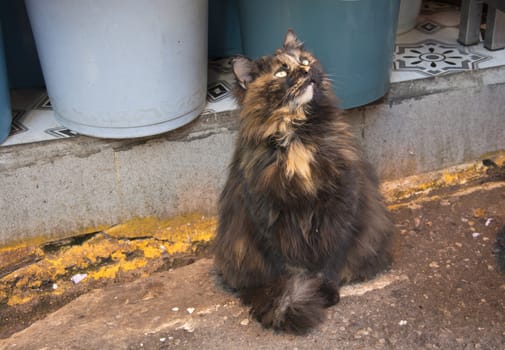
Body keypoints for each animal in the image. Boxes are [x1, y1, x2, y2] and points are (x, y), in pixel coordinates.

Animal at [213, 30, 394, 334]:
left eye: (305, 61)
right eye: (281, 72)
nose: (306, 71)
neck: (298, 137)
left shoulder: (340, 206)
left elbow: (330, 261)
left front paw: (326, 292)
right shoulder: (273, 218)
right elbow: (293, 269)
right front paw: (301, 295)